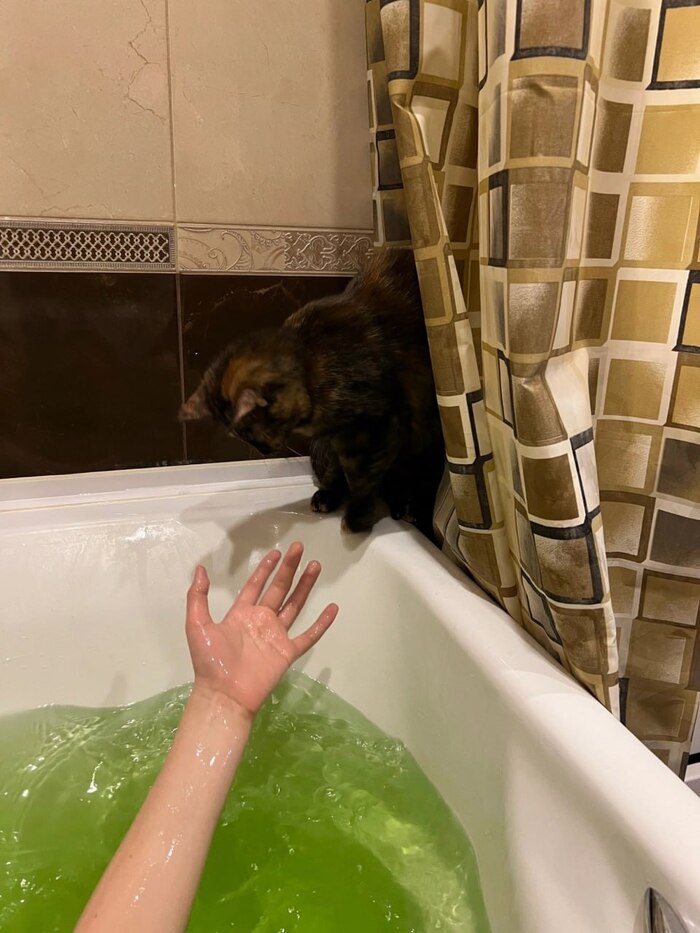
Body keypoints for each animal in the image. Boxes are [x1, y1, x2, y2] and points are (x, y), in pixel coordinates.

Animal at [179, 248, 444, 533]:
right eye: (240, 435)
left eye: (247, 431)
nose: (262, 451)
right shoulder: (339, 438)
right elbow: (339, 469)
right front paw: (331, 495)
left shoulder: (376, 427)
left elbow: (361, 478)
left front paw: (357, 518)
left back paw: (407, 508)